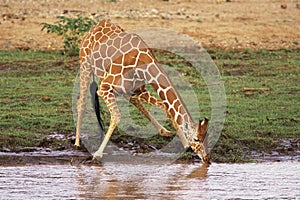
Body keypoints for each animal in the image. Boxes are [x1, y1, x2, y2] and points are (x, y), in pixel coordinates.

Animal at [76, 19, 210, 164]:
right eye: (197, 139)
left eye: (206, 137)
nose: (207, 158)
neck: (142, 63)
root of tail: (94, 27)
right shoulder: (104, 88)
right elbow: (116, 116)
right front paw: (97, 154)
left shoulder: (139, 90)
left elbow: (165, 107)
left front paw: (185, 145)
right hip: (85, 66)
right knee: (81, 103)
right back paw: (77, 142)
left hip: (126, 89)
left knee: (136, 102)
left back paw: (164, 131)